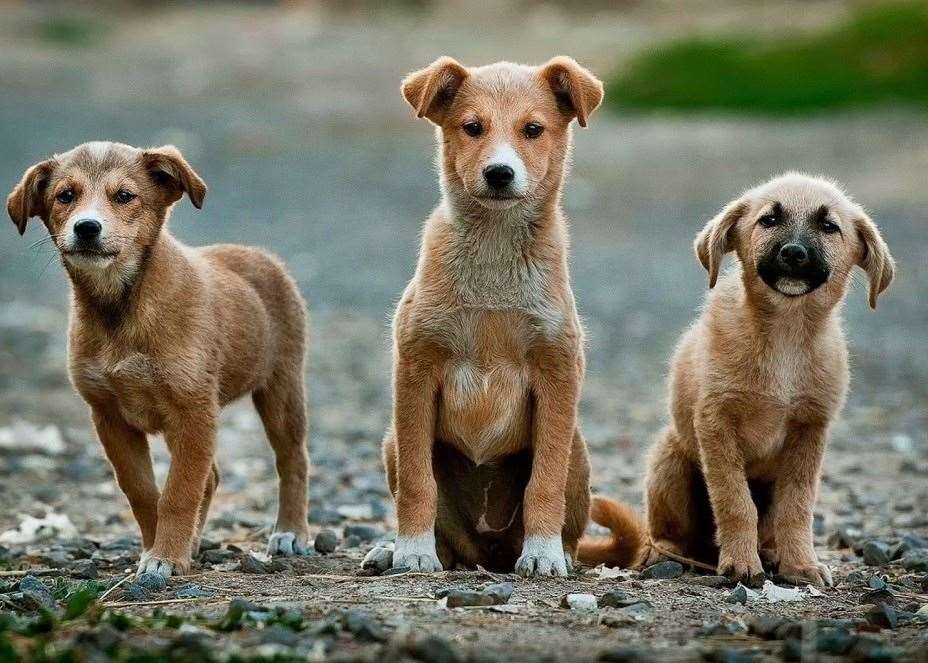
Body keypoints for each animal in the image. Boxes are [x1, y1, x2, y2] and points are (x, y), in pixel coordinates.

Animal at [8, 143, 312, 580]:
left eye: (124, 196)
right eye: (65, 196)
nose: (87, 228)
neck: (121, 308)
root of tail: (259, 254)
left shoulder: (193, 410)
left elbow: (178, 492)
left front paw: (166, 556)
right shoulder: (109, 416)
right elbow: (143, 492)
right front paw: (159, 549)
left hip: (281, 389)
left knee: (293, 460)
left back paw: (290, 532)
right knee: (212, 477)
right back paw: (196, 542)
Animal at [366, 55, 604, 576]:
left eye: (533, 130)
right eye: (472, 127)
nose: (499, 173)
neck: (494, 252)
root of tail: (488, 553)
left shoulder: (558, 374)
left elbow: (544, 482)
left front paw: (543, 553)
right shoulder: (415, 372)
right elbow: (418, 483)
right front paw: (411, 550)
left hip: (578, 449)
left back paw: (558, 552)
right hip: (392, 441)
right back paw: (396, 550)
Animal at [584, 172, 896, 588]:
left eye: (829, 226)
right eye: (769, 220)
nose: (793, 253)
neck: (785, 334)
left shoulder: (810, 430)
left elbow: (797, 507)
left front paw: (801, 564)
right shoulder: (716, 423)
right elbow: (735, 501)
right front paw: (741, 564)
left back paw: (772, 553)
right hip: (670, 460)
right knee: (666, 532)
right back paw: (666, 553)